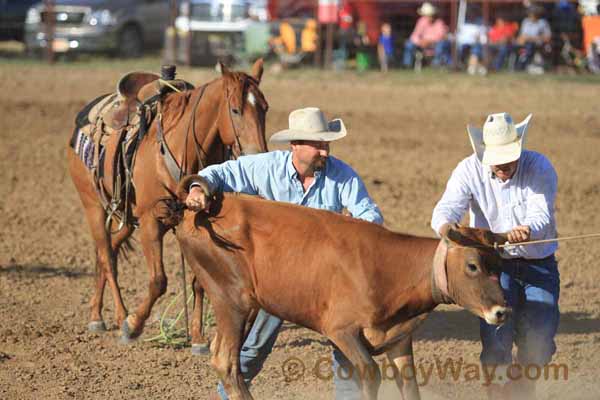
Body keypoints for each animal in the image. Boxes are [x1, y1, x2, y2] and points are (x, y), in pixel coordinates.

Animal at [66, 58, 270, 350]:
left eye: (265, 108)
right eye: (235, 109)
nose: (258, 155)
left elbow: (199, 282)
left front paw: (197, 337)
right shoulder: (151, 222)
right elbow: (158, 281)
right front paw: (133, 326)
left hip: (126, 217)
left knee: (110, 252)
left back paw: (97, 312)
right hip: (92, 205)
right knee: (106, 256)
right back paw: (117, 316)